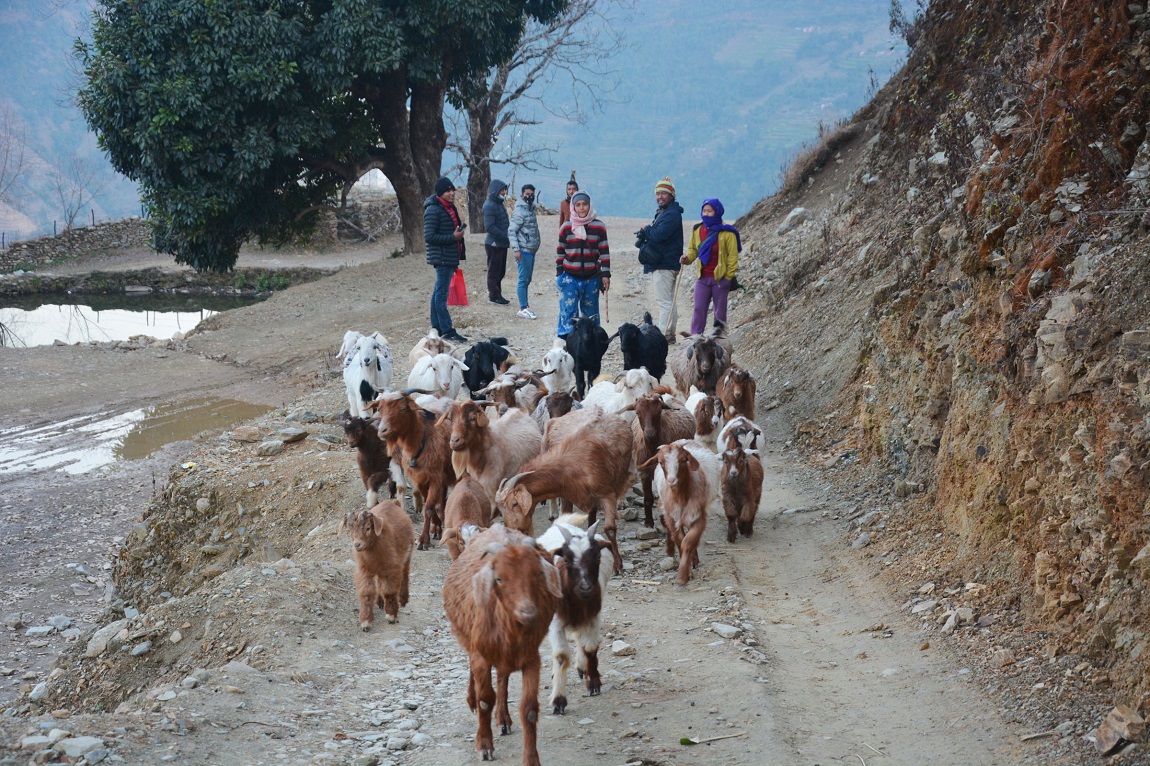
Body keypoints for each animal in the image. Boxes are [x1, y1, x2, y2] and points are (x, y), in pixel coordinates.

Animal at [338, 499, 416, 630]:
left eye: (368, 528)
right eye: (349, 530)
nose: (357, 545)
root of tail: (392, 502)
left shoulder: (391, 568)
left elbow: (389, 591)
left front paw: (391, 615)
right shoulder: (363, 570)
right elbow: (366, 593)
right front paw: (365, 622)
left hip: (408, 553)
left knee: (405, 573)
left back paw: (403, 599)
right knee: (379, 582)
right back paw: (380, 602)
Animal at [370, 391, 455, 545]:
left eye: (403, 409)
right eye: (379, 408)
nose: (381, 430)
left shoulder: (435, 477)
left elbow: (429, 507)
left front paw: (423, 539)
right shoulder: (405, 469)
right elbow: (407, 490)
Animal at [439, 524, 561, 763]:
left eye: (537, 574)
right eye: (499, 579)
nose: (527, 611)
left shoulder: (532, 659)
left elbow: (529, 710)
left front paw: (531, 759)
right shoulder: (480, 656)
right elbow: (485, 701)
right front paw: (484, 745)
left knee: (502, 677)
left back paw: (503, 718)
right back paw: (473, 699)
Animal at [496, 411, 634, 565]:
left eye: (514, 504)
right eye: (500, 509)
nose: (513, 530)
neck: (572, 465)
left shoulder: (606, 494)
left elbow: (609, 529)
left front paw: (618, 563)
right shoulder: (568, 495)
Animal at [630, 393, 690, 524]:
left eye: (659, 411)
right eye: (637, 412)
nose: (649, 433)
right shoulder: (644, 472)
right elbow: (648, 498)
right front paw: (649, 523)